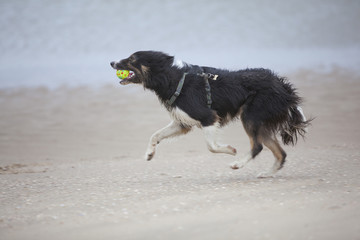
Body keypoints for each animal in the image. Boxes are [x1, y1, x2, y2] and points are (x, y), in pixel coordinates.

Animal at [111, 50, 310, 177]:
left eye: (132, 58)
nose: (111, 62)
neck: (173, 78)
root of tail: (283, 88)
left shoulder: (208, 117)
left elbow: (211, 146)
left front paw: (230, 150)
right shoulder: (182, 123)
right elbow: (155, 135)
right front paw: (150, 154)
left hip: (250, 116)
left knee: (258, 146)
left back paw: (238, 164)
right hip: (259, 123)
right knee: (280, 153)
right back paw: (267, 174)